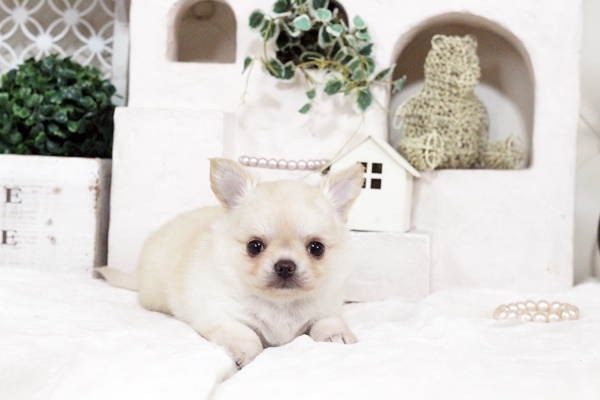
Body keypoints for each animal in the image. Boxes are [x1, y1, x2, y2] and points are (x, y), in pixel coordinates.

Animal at [97, 158, 364, 367]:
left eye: (316, 248)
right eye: (254, 246)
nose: (285, 266)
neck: (281, 305)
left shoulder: (327, 309)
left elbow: (329, 321)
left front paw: (337, 335)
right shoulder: (221, 317)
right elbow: (246, 334)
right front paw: (247, 354)